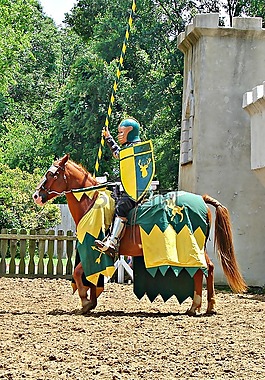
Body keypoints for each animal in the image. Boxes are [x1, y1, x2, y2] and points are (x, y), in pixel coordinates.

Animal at [32, 154, 245, 314]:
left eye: (51, 174)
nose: (36, 195)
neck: (91, 202)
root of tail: (202, 199)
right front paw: (91, 302)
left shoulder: (93, 250)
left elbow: (78, 273)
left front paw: (85, 302)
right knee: (207, 269)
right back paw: (205, 306)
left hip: (193, 246)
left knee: (203, 269)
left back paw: (197, 306)